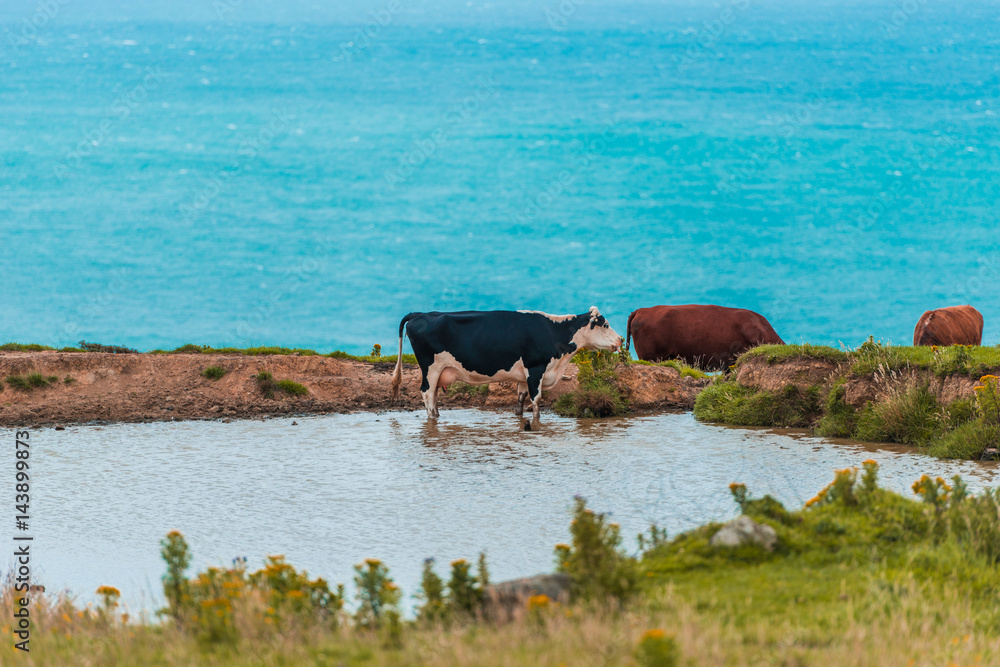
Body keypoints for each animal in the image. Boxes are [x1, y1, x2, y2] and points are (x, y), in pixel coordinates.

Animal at [388, 306, 616, 420]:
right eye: (606, 324)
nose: (621, 340)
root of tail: (421, 314)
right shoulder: (536, 368)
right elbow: (536, 401)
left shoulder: (524, 375)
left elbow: (521, 399)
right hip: (431, 367)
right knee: (427, 393)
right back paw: (432, 419)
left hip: (439, 370)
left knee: (433, 395)